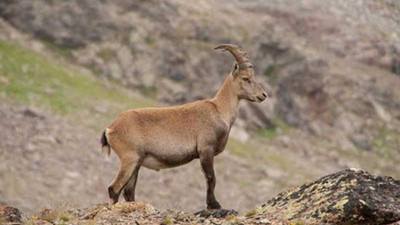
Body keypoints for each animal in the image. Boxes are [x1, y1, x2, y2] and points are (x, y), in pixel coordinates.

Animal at [101, 44, 268, 209]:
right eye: (246, 78)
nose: (263, 95)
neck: (219, 110)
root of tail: (110, 128)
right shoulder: (206, 149)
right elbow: (211, 177)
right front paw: (214, 204)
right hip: (129, 158)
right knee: (113, 188)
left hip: (136, 163)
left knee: (128, 191)